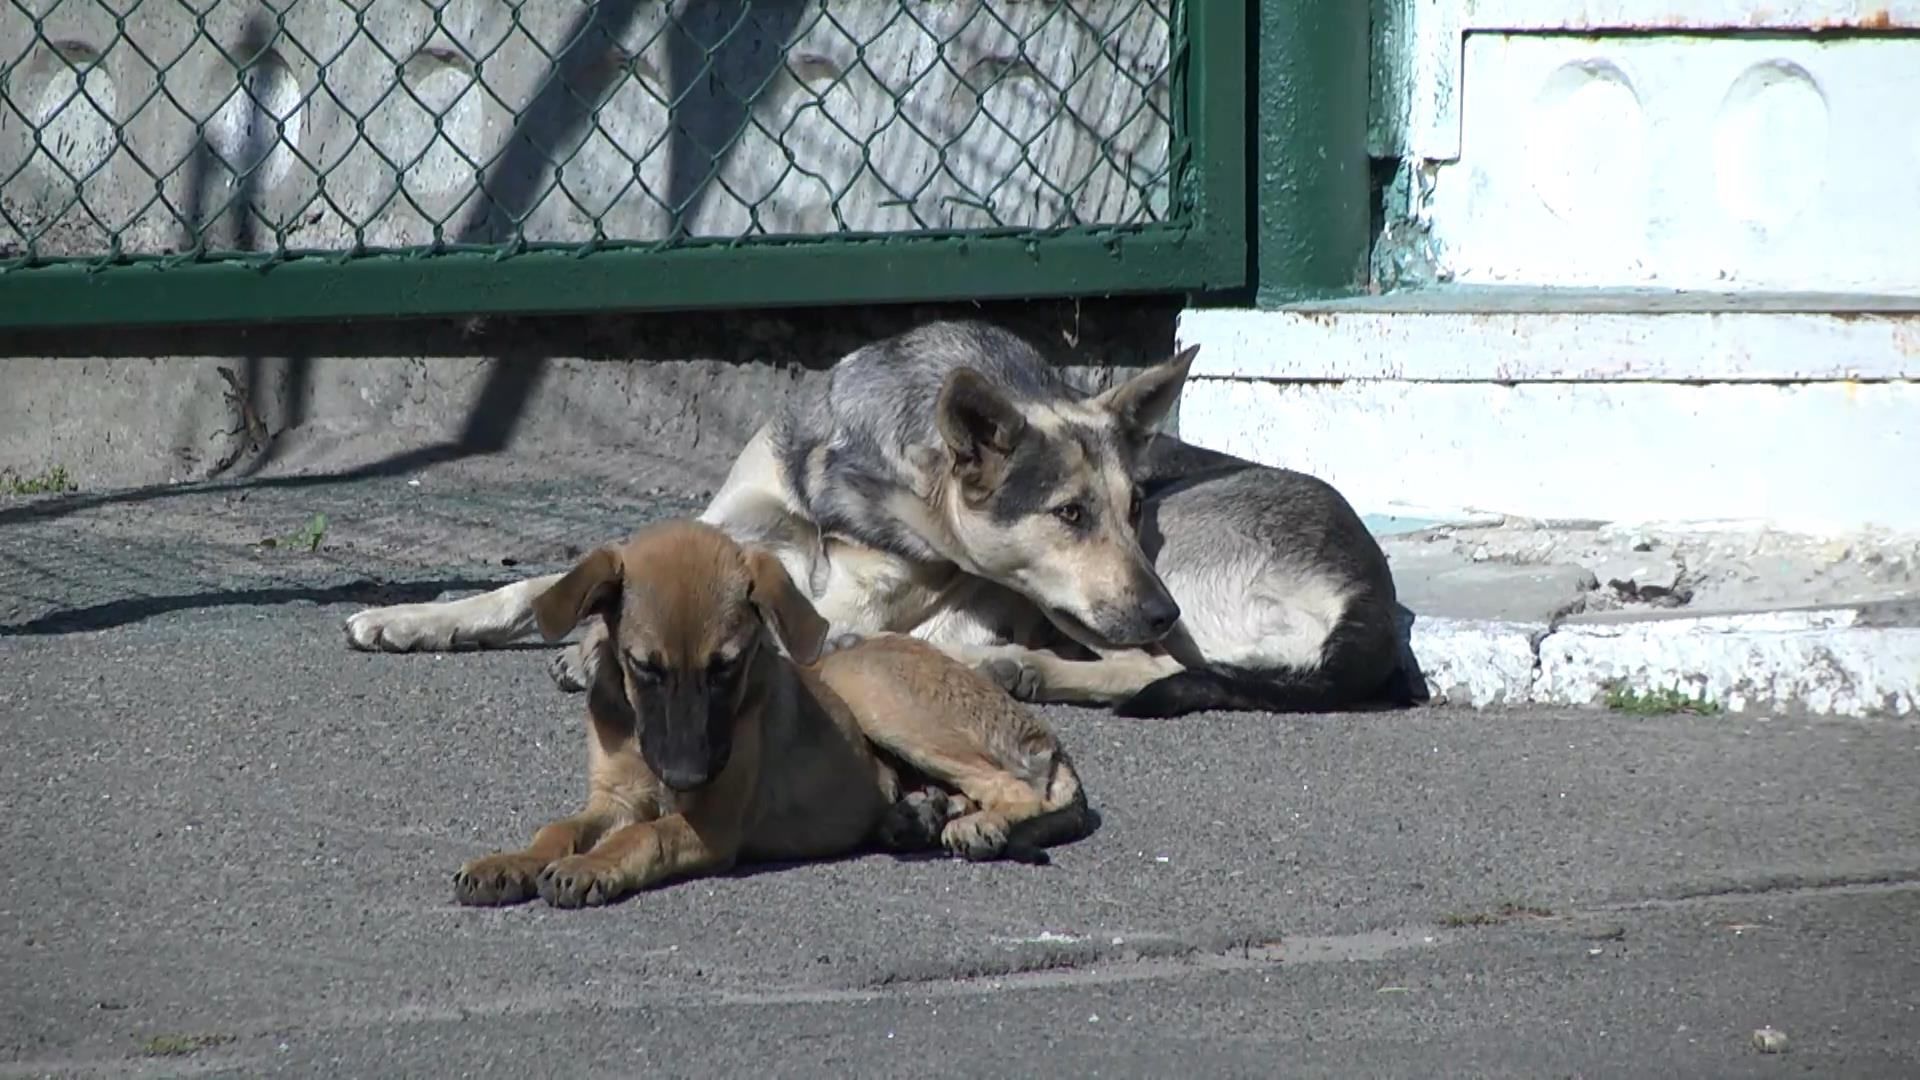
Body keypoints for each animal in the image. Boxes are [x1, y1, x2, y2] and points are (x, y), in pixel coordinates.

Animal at [441, 518, 1090, 903]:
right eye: (644, 666)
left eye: (725, 666)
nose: (685, 774)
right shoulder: (614, 799)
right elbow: (560, 829)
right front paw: (513, 861)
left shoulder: (714, 822)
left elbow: (645, 837)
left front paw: (591, 868)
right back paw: (915, 815)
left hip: (874, 691)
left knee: (1014, 785)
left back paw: (979, 823)